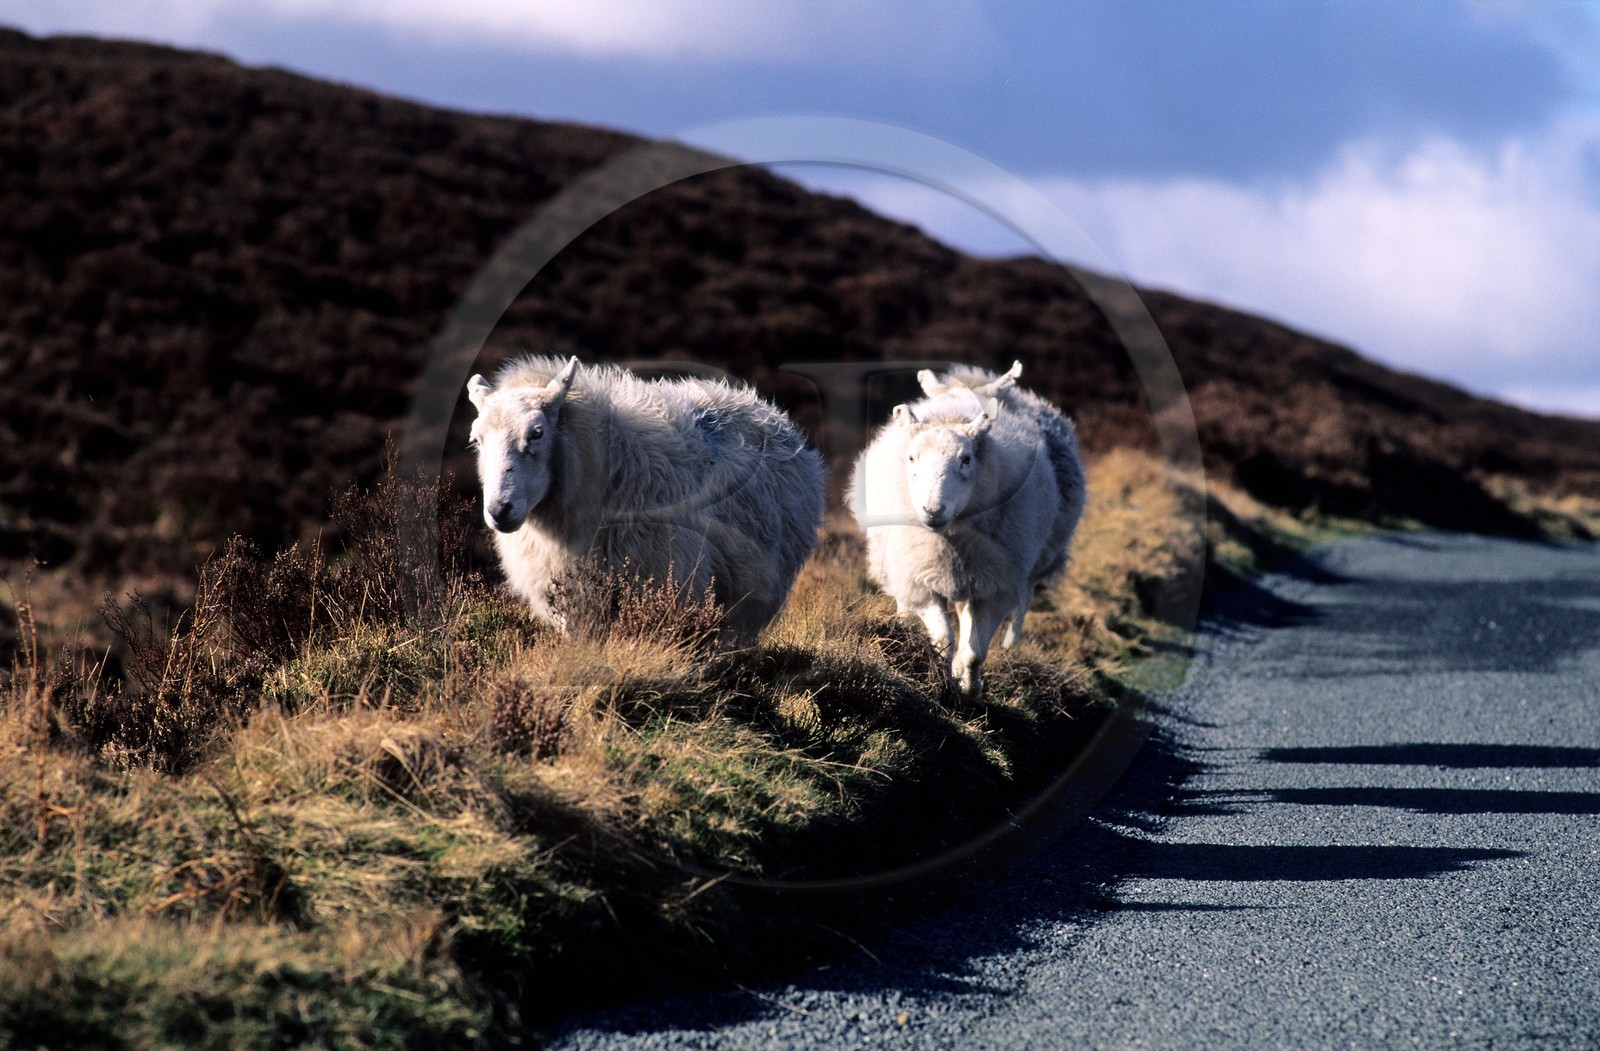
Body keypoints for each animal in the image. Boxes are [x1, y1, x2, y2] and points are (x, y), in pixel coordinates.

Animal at [466, 355, 824, 641]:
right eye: (477, 439)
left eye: (537, 432)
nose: (499, 510)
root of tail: (764, 408)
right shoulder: (574, 601)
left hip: (753, 593)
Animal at [850, 363, 1086, 695]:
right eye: (912, 457)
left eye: (966, 458)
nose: (933, 511)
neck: (950, 537)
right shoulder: (923, 578)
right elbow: (943, 639)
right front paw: (941, 678)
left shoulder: (996, 586)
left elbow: (976, 652)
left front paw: (969, 687)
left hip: (1022, 566)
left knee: (1016, 610)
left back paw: (1003, 651)